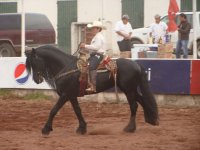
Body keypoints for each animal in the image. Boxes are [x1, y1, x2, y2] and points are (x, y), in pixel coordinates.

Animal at [25, 45, 159, 135]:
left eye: (34, 62)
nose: (36, 80)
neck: (65, 66)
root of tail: (136, 65)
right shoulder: (71, 95)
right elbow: (77, 111)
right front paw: (82, 128)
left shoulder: (65, 94)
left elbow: (53, 110)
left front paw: (46, 129)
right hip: (130, 89)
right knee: (142, 101)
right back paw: (152, 119)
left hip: (129, 90)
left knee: (134, 106)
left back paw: (130, 128)